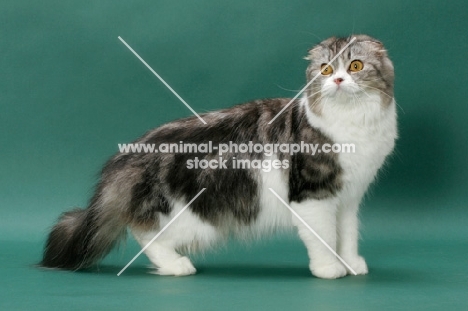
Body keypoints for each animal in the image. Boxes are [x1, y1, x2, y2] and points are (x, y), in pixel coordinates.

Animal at [42, 34, 396, 280]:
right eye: (325, 69)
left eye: (355, 66)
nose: (337, 80)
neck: (353, 123)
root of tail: (129, 154)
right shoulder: (313, 197)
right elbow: (324, 238)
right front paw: (329, 269)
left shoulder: (347, 199)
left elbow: (347, 236)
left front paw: (351, 265)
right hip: (191, 219)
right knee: (144, 232)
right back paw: (176, 266)